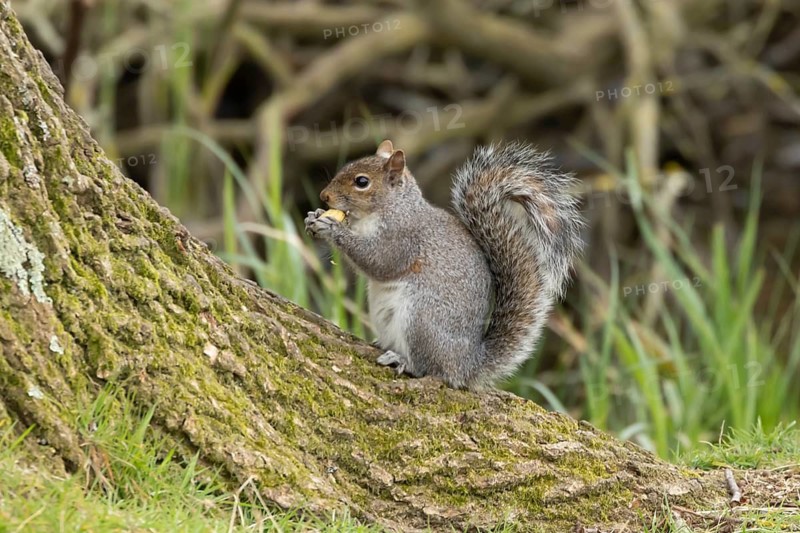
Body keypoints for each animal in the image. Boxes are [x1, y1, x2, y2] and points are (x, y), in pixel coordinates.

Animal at [305, 139, 583, 389]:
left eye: (362, 182)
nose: (323, 196)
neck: (389, 209)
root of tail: (467, 364)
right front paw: (314, 217)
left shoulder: (403, 240)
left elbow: (379, 262)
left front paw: (333, 228)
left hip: (421, 321)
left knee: (430, 369)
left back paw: (403, 361)